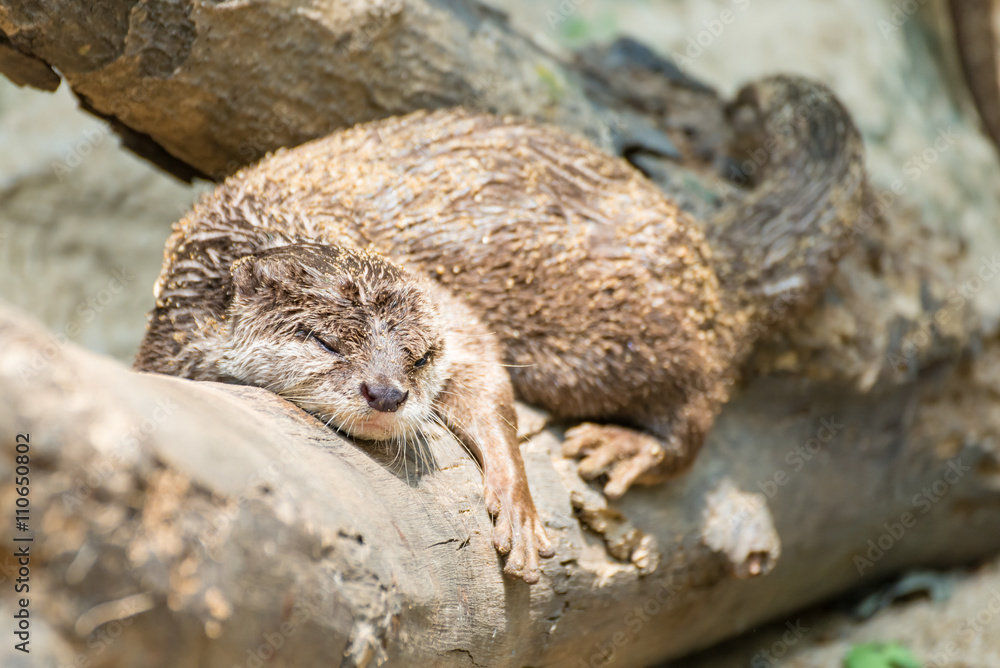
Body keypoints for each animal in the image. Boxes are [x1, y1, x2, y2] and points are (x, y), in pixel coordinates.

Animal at [137, 75, 863, 572]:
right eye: (322, 341)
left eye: (421, 356)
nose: (387, 393)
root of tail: (708, 260)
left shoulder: (451, 311)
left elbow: (485, 369)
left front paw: (515, 496)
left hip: (640, 335)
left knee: (702, 400)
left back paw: (623, 447)